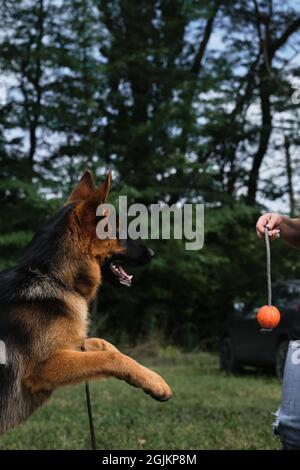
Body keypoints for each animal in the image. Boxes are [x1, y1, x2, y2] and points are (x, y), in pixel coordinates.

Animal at [0, 171, 172, 436]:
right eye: (120, 232)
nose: (152, 252)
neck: (53, 276)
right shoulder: (42, 369)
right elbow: (109, 358)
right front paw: (156, 382)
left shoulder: (71, 344)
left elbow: (104, 344)